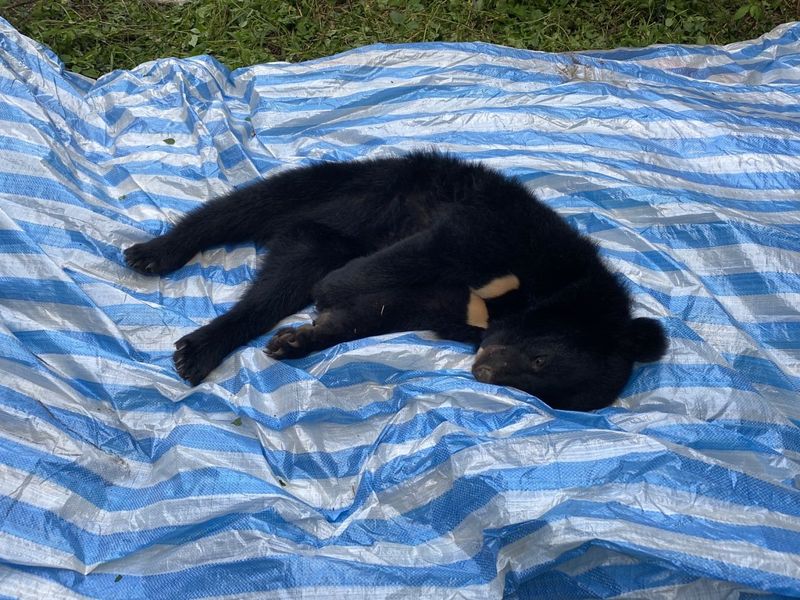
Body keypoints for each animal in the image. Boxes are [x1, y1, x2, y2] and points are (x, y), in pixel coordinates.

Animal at [124, 151, 667, 411]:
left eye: (541, 393)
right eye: (539, 358)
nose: (482, 372)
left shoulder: (445, 308)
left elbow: (377, 312)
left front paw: (298, 339)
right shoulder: (501, 230)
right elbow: (419, 253)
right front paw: (332, 291)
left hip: (320, 231)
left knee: (277, 282)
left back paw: (201, 349)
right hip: (361, 188)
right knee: (247, 207)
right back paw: (153, 254)